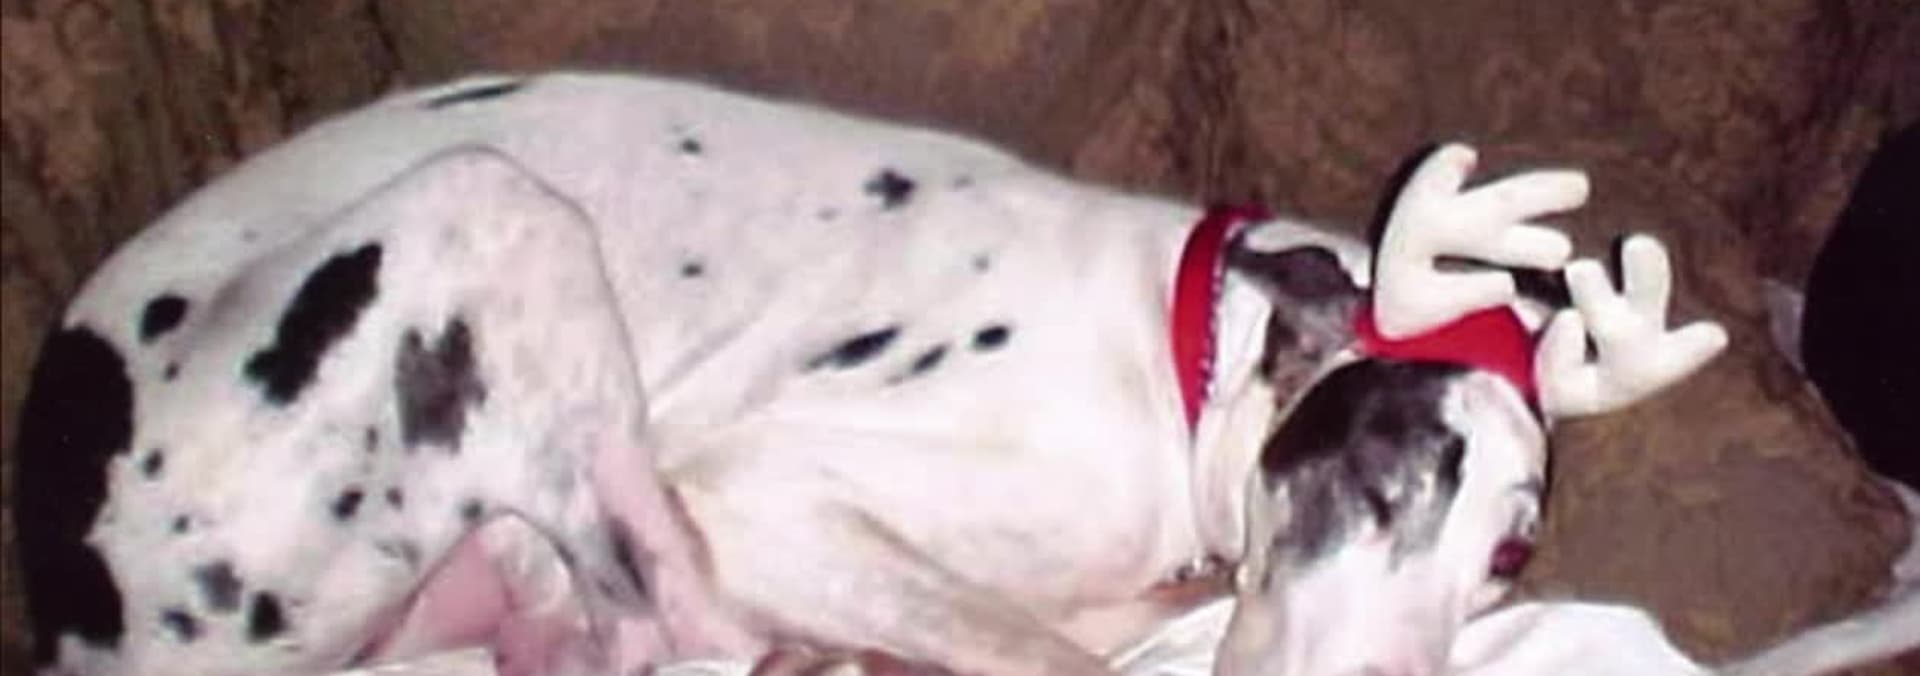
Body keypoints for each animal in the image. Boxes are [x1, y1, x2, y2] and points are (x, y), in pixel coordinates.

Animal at [16, 70, 1890, 676]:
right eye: (1378, 478)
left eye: (1509, 547)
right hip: (487, 211)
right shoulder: (767, 497)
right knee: (665, 624)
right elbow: (1036, 652)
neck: (1184, 353)